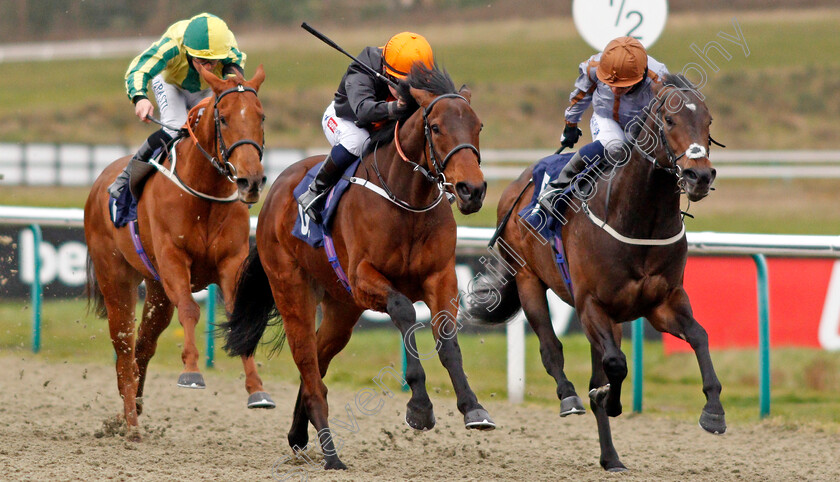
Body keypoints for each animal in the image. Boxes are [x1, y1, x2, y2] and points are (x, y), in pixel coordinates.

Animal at [84, 64, 270, 440]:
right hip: (117, 279)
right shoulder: (173, 260)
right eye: (224, 118)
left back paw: (134, 408)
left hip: (157, 290)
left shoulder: (231, 262)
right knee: (124, 348)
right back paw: (130, 424)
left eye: (261, 117)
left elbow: (239, 316)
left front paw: (257, 390)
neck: (204, 193)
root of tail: (99, 183)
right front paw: (192, 372)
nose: (251, 180)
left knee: (143, 346)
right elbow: (190, 310)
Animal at [225, 62, 492, 468]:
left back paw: (299, 434)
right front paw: (419, 407)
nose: (471, 190)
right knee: (309, 367)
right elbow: (404, 311)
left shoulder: (440, 277)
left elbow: (447, 339)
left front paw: (473, 407)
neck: (406, 202)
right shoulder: (365, 278)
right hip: (293, 292)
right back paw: (331, 454)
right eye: (435, 127)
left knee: (317, 364)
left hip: (341, 308)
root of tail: (272, 195)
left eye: (477, 126)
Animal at [466, 75, 728, 470]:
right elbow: (615, 364)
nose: (699, 175)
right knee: (551, 348)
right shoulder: (591, 304)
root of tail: (518, 184)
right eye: (670, 120)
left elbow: (699, 336)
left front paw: (714, 412)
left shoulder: (663, 302)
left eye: (709, 122)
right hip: (528, 279)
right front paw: (611, 399)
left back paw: (611, 457)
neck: (639, 220)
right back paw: (569, 397)